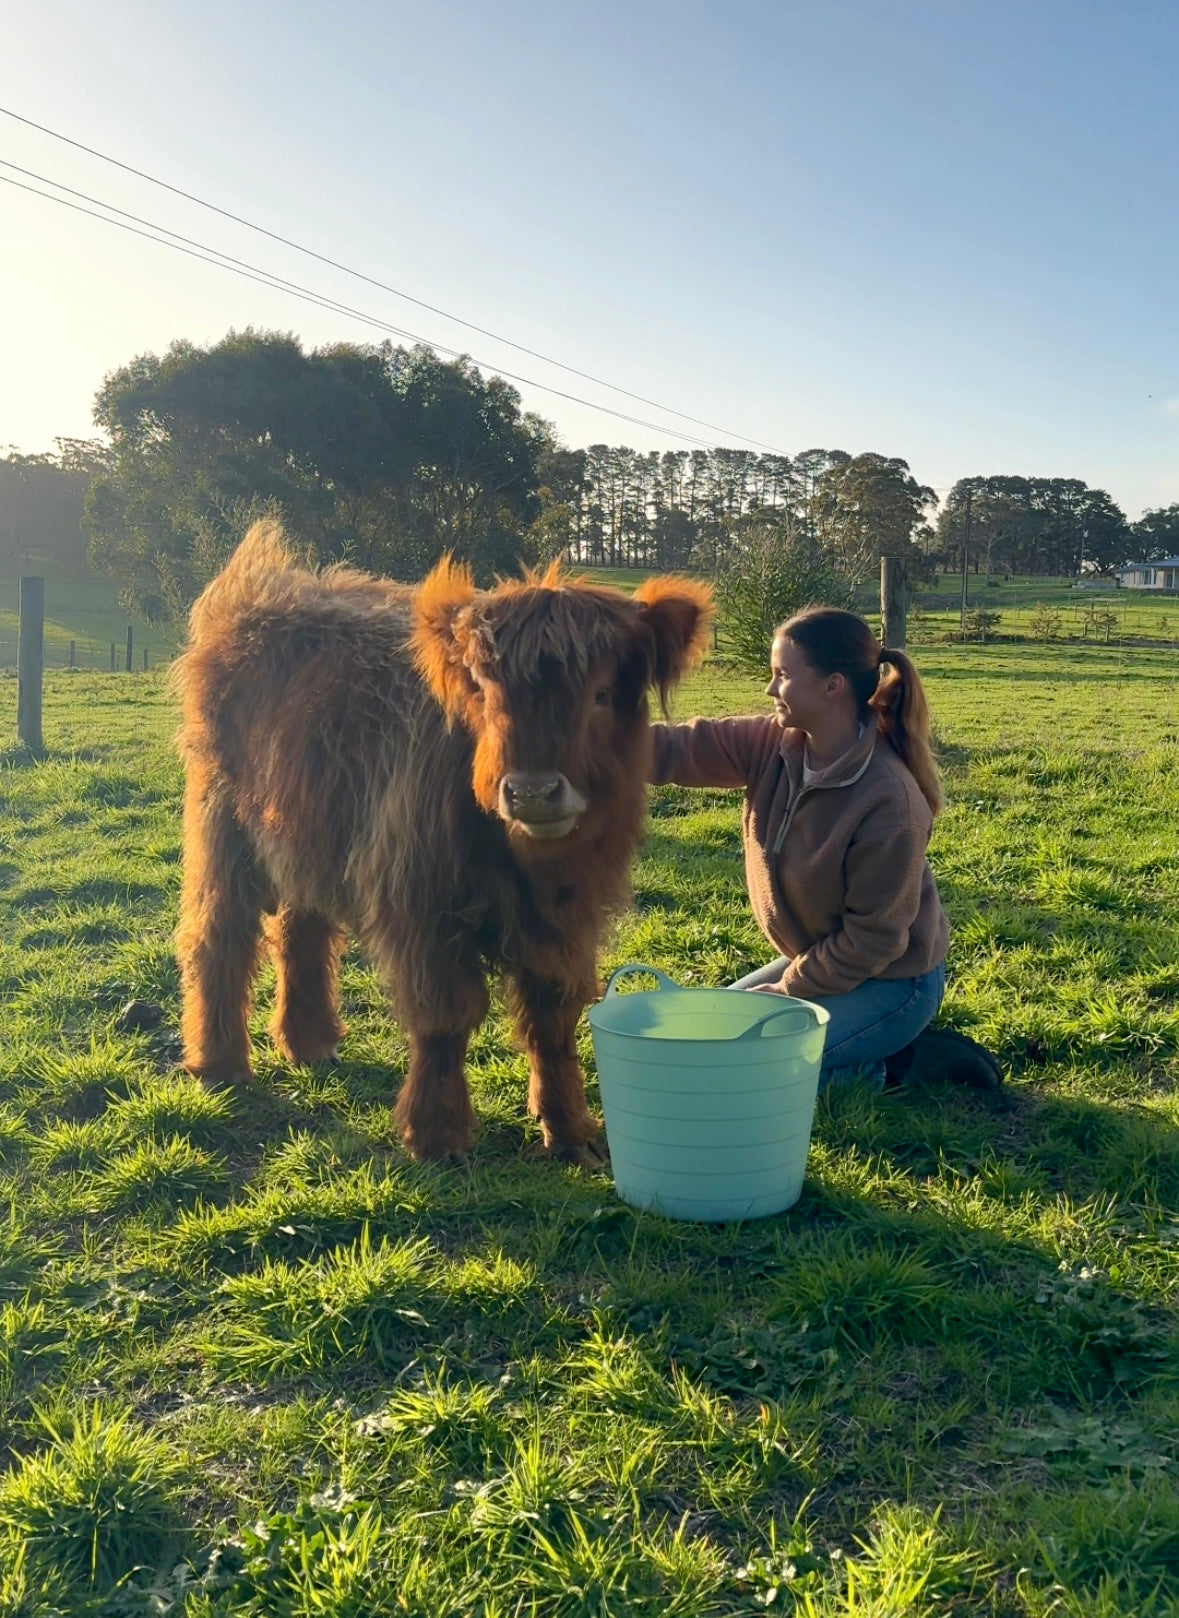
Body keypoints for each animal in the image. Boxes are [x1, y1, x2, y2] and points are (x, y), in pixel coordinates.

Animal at [173, 520, 708, 1164]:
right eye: (485, 692)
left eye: (602, 694)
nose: (532, 792)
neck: (529, 865)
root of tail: (260, 589)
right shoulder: (424, 908)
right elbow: (445, 1020)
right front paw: (438, 1136)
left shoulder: (568, 922)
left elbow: (553, 1023)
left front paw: (570, 1130)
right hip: (223, 825)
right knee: (220, 936)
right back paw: (220, 1064)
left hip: (308, 833)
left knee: (302, 930)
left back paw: (310, 1041)